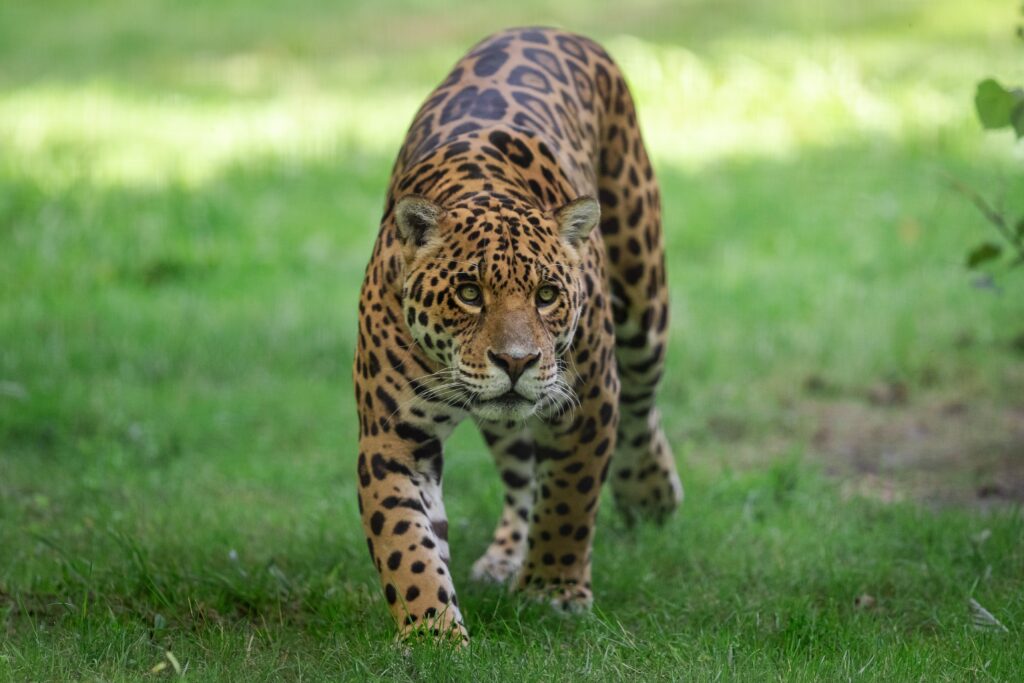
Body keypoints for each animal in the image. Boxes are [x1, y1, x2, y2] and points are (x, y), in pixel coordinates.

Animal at [353, 27, 682, 644]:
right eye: (468, 292)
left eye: (548, 295)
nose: (517, 361)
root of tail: (549, 28)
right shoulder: (392, 437)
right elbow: (406, 543)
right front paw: (432, 633)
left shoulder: (588, 398)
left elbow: (571, 497)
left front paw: (552, 590)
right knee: (522, 468)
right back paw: (505, 555)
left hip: (642, 298)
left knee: (641, 406)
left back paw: (650, 492)